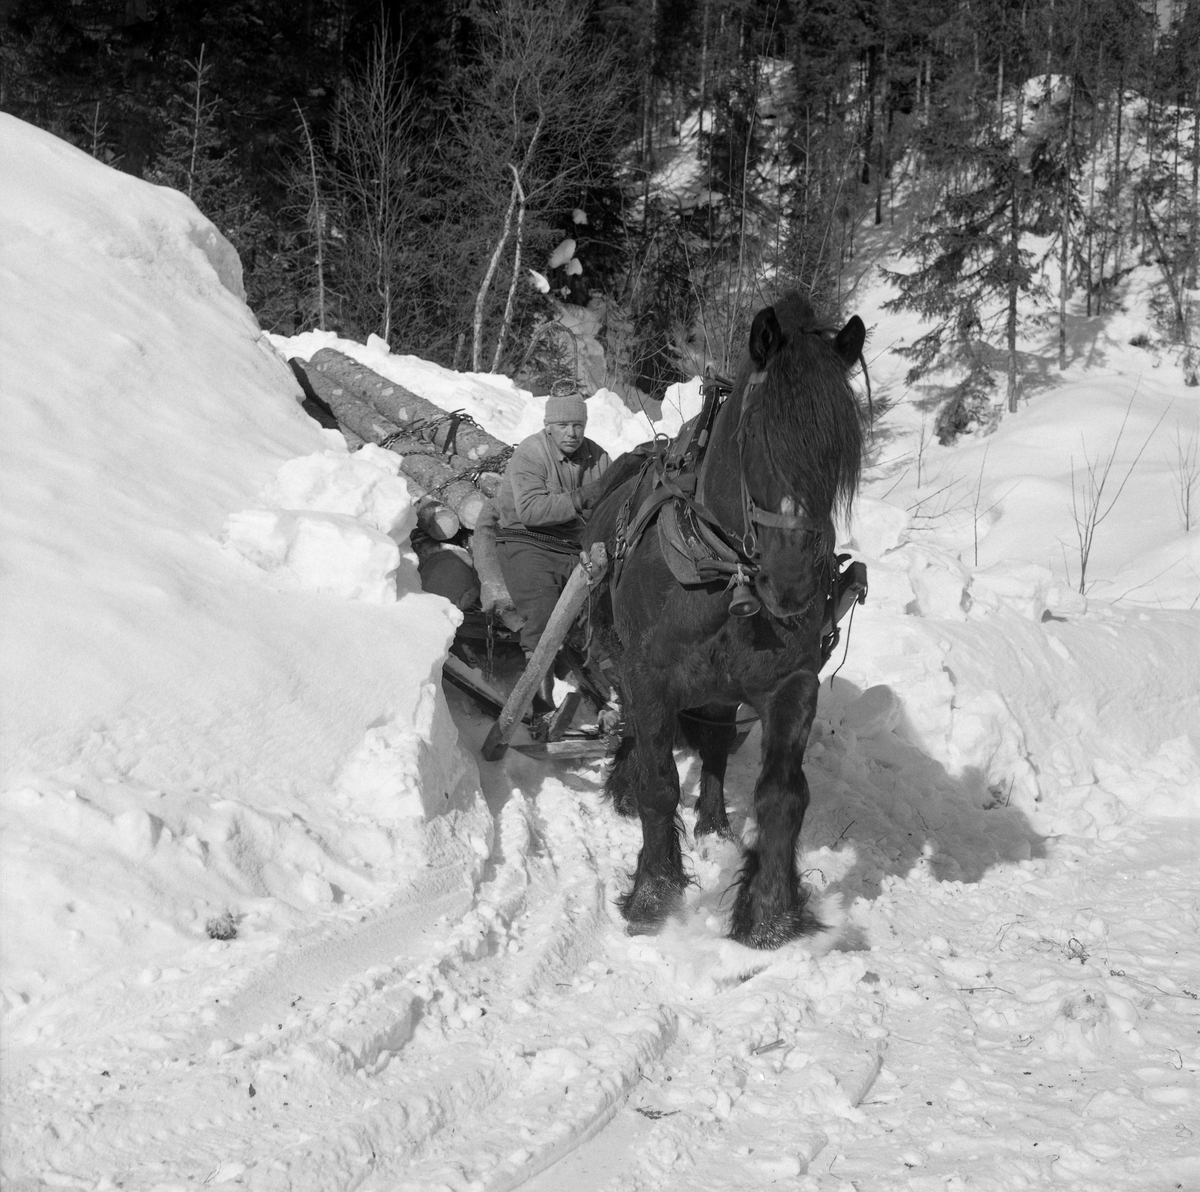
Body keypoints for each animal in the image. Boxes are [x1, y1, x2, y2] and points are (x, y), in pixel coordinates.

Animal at [580, 290, 864, 950]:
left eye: (841, 447)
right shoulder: (649, 675)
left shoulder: (791, 683)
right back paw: (624, 785)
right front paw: (652, 894)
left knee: (712, 743)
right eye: (757, 431)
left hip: (718, 690)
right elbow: (659, 783)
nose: (792, 580)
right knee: (638, 730)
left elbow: (783, 795)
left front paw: (769, 915)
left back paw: (712, 822)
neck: (724, 577)